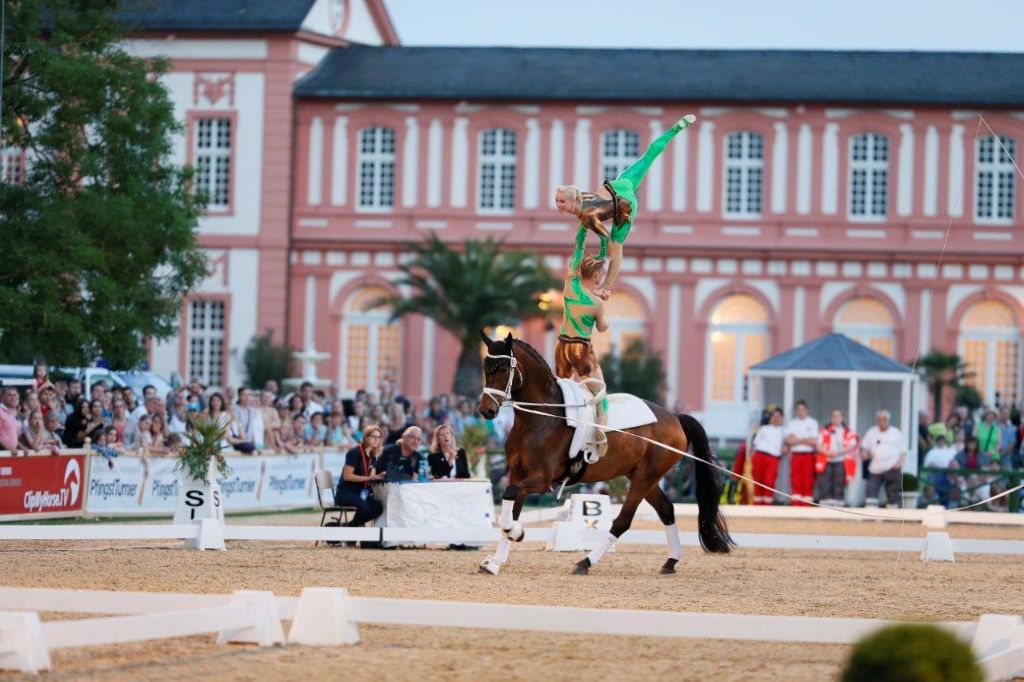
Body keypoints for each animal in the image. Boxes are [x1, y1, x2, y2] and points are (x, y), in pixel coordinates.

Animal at [475, 329, 733, 573]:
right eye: (485, 369)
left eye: (502, 369)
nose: (486, 411)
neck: (540, 417)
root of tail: (674, 417)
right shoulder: (518, 474)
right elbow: (513, 507)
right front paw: (495, 562)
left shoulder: (541, 479)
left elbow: (509, 496)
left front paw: (516, 533)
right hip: (644, 477)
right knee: (667, 511)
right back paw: (670, 561)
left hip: (645, 477)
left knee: (623, 521)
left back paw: (585, 562)